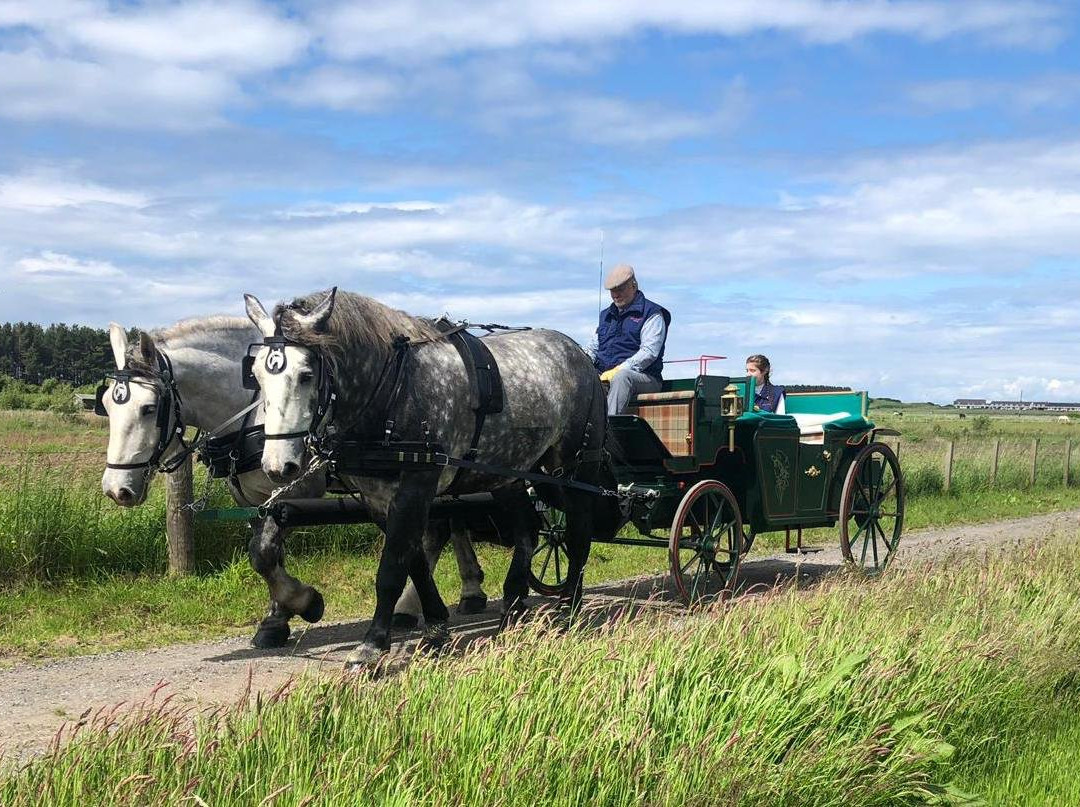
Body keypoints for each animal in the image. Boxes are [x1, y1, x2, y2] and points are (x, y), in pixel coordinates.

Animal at [97, 319, 494, 648]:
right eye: (104, 405)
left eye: (149, 408)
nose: (117, 489)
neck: (255, 411)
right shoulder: (252, 497)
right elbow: (267, 554)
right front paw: (276, 619)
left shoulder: (297, 488)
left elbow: (264, 552)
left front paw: (305, 602)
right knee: (447, 525)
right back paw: (462, 593)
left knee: (438, 528)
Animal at [243, 289, 617, 669]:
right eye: (255, 374)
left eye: (306, 374)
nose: (277, 466)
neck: (394, 391)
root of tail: (580, 355)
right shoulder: (377, 498)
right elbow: (415, 562)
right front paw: (436, 627)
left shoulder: (417, 486)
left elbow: (392, 569)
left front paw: (372, 645)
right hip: (510, 473)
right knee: (527, 529)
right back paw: (512, 608)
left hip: (573, 467)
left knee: (578, 531)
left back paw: (568, 608)